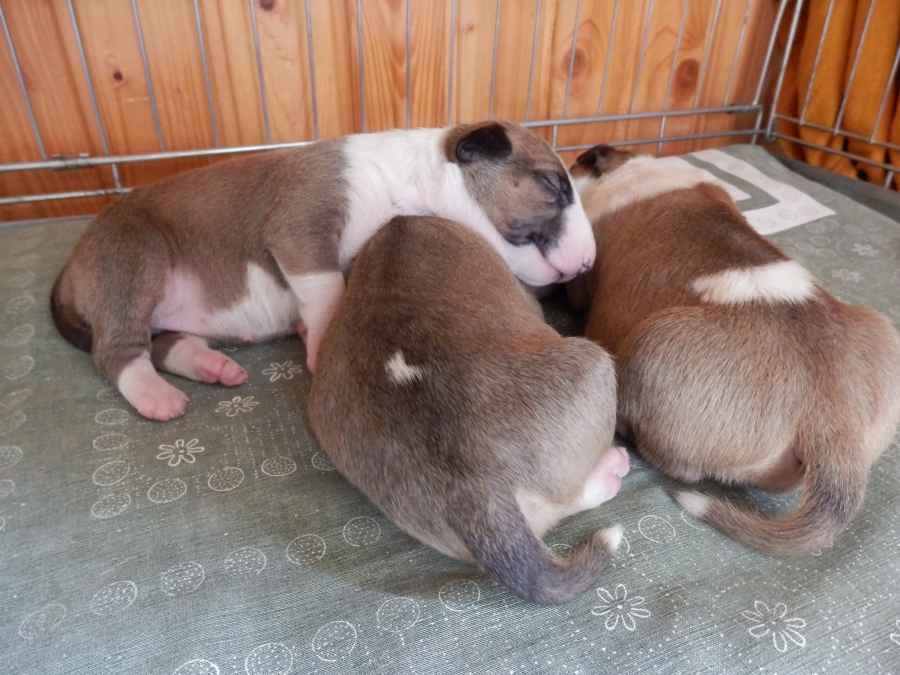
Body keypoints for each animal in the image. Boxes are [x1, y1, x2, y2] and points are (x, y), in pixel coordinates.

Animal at [51, 121, 595, 420]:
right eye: (554, 185)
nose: (589, 261)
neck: (407, 182)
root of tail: (71, 268)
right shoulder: (301, 223)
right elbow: (325, 286)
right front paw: (317, 343)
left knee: (163, 340)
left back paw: (210, 365)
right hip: (132, 259)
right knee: (116, 350)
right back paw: (155, 396)